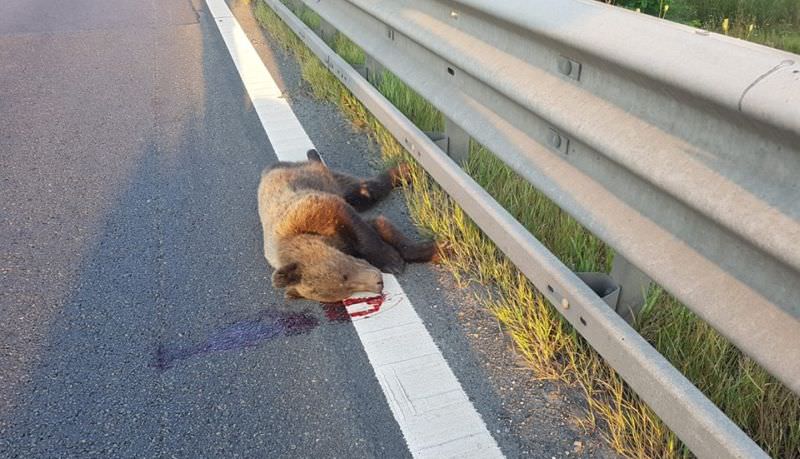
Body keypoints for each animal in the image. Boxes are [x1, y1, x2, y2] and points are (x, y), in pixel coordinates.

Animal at [260, 149, 440, 304]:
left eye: (344, 275)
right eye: (347, 291)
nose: (379, 282)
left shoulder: (310, 211)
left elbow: (362, 229)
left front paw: (393, 260)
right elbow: (379, 224)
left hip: (324, 178)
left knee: (367, 189)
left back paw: (405, 170)